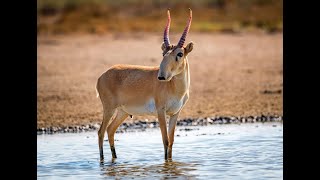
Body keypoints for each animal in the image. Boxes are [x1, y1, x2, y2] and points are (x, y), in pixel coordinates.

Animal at [96, 8, 194, 160]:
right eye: (163, 53)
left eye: (180, 54)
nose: (161, 76)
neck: (175, 88)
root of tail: (102, 76)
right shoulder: (161, 111)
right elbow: (165, 140)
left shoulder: (175, 113)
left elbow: (171, 141)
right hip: (109, 109)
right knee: (101, 131)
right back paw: (102, 160)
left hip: (123, 112)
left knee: (110, 130)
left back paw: (115, 158)